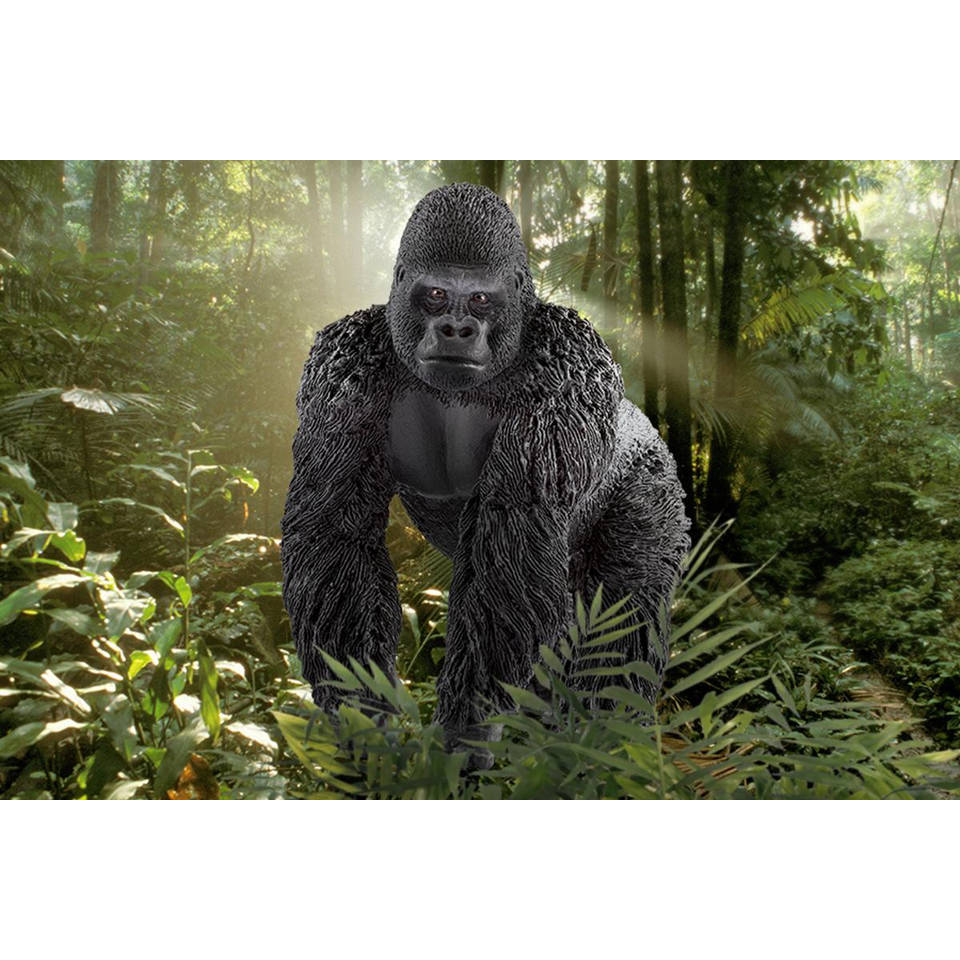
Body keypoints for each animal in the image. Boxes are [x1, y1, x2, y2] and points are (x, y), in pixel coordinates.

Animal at [281, 182, 691, 766]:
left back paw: (601, 750)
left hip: (652, 481)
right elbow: (335, 532)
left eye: (479, 299)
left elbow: (515, 533)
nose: (456, 328)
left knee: (619, 624)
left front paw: (464, 728)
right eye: (434, 295)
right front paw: (364, 715)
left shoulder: (569, 358)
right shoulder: (341, 362)